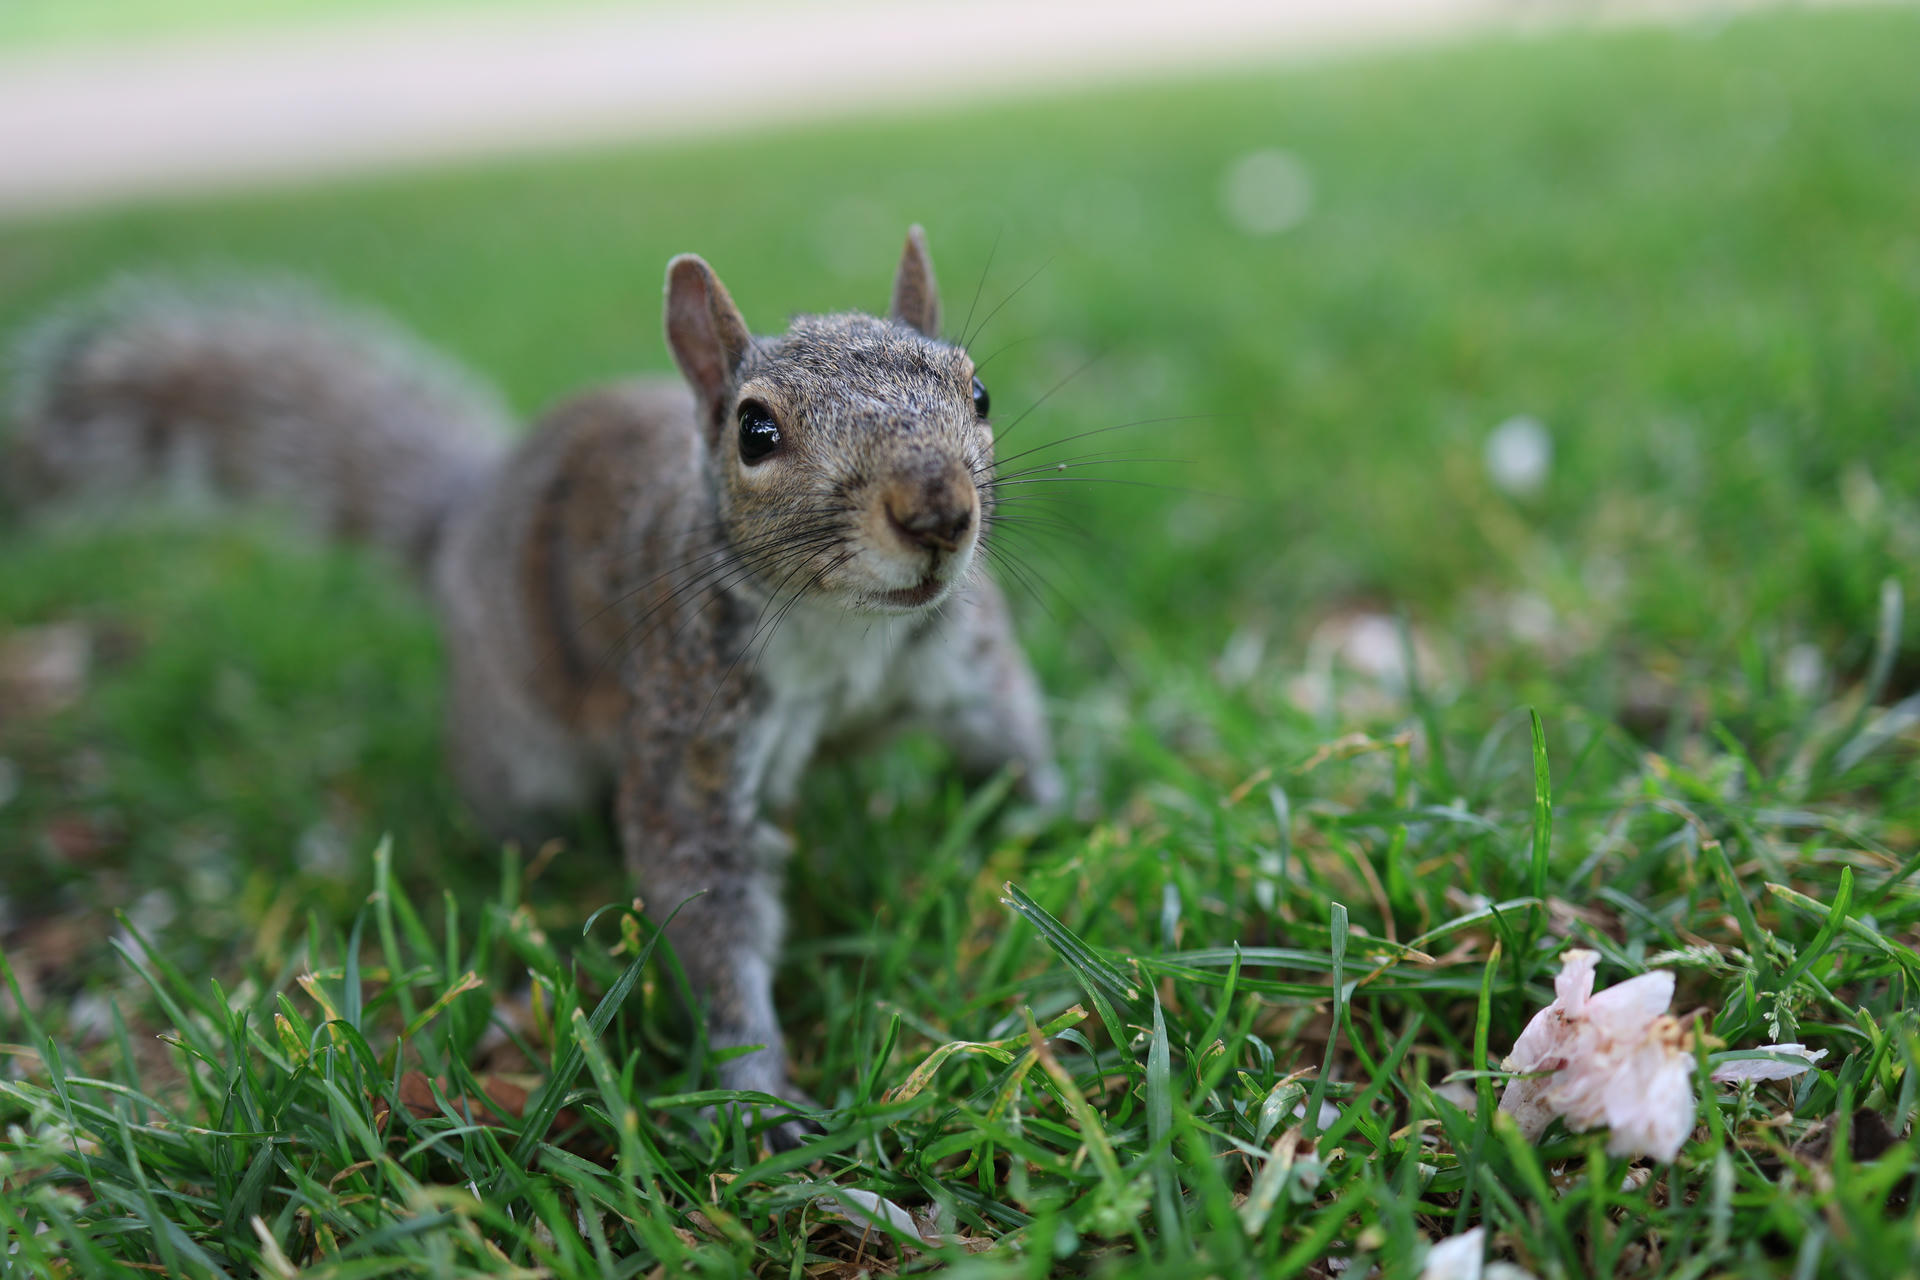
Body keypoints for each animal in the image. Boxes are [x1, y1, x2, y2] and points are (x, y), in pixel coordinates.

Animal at [5, 226, 1062, 1147]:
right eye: (755, 432)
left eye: (978, 390)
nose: (936, 513)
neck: (845, 629)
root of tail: (464, 520)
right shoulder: (689, 732)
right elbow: (707, 909)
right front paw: (759, 1097)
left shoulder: (963, 661)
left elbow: (1010, 738)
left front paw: (1055, 825)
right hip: (518, 749)